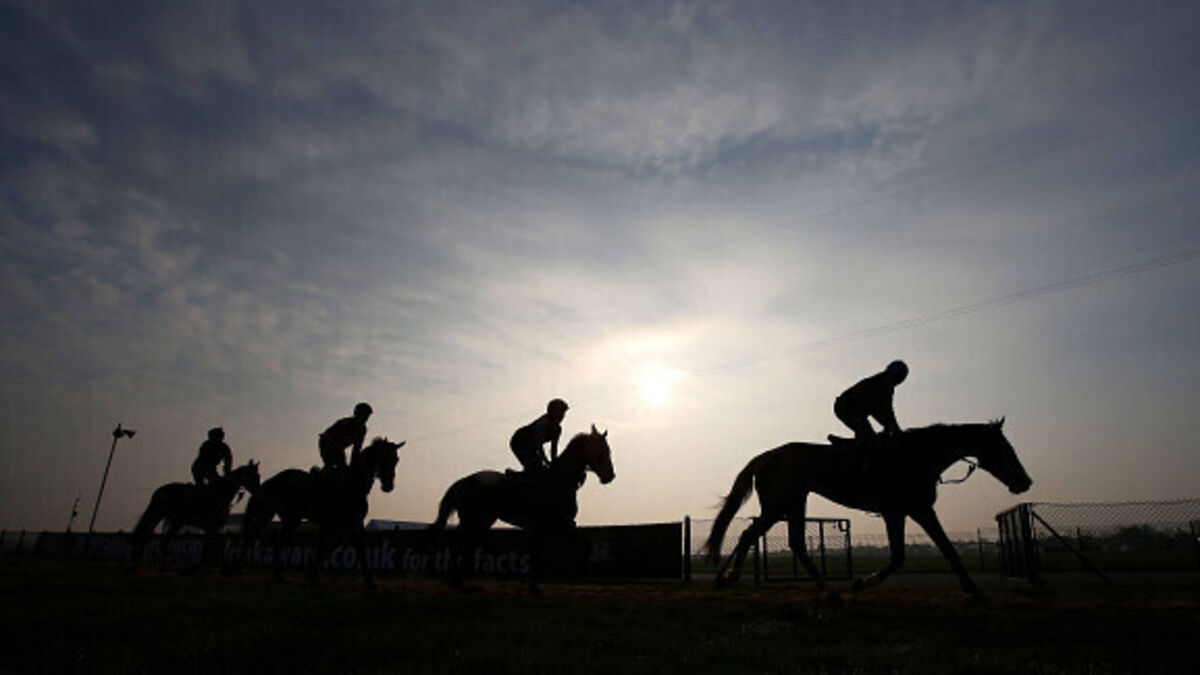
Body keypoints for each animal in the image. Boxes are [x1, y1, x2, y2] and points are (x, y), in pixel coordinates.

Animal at [129, 460, 261, 571]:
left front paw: (202, 565)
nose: (258, 491)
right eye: (254, 476)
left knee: (162, 540)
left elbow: (212, 545)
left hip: (176, 522)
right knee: (147, 535)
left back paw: (160, 566)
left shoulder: (213, 528)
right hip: (157, 514)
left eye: (258, 476)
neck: (220, 494)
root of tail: (158, 492)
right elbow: (217, 544)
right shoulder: (211, 526)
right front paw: (222, 566)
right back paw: (137, 565)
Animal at [235, 437, 404, 588]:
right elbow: (327, 547)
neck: (353, 485)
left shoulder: (351, 523)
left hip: (283, 517)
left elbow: (339, 547)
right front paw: (312, 576)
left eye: (396, 459)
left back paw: (275, 575)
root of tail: (271, 481)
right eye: (383, 457)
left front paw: (369, 581)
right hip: (276, 515)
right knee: (257, 537)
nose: (388, 485)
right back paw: (239, 569)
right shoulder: (339, 523)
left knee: (271, 540)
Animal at [428, 425, 615, 590]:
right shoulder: (553, 524)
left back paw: (458, 580)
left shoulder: (561, 524)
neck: (559, 481)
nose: (610, 476)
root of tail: (464, 481)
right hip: (474, 518)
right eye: (602, 451)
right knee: (460, 541)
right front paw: (536, 585)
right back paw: (455, 580)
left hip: (481, 520)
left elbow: (580, 542)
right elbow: (540, 552)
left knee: (465, 541)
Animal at [703, 420, 1032, 598]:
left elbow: (945, 549)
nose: (1025, 481)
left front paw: (974, 589)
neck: (916, 456)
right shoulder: (901, 510)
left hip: (792, 503)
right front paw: (863, 582)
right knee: (754, 535)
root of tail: (762, 457)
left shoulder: (915, 510)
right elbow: (902, 555)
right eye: (1004, 448)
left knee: (780, 539)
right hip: (780, 505)